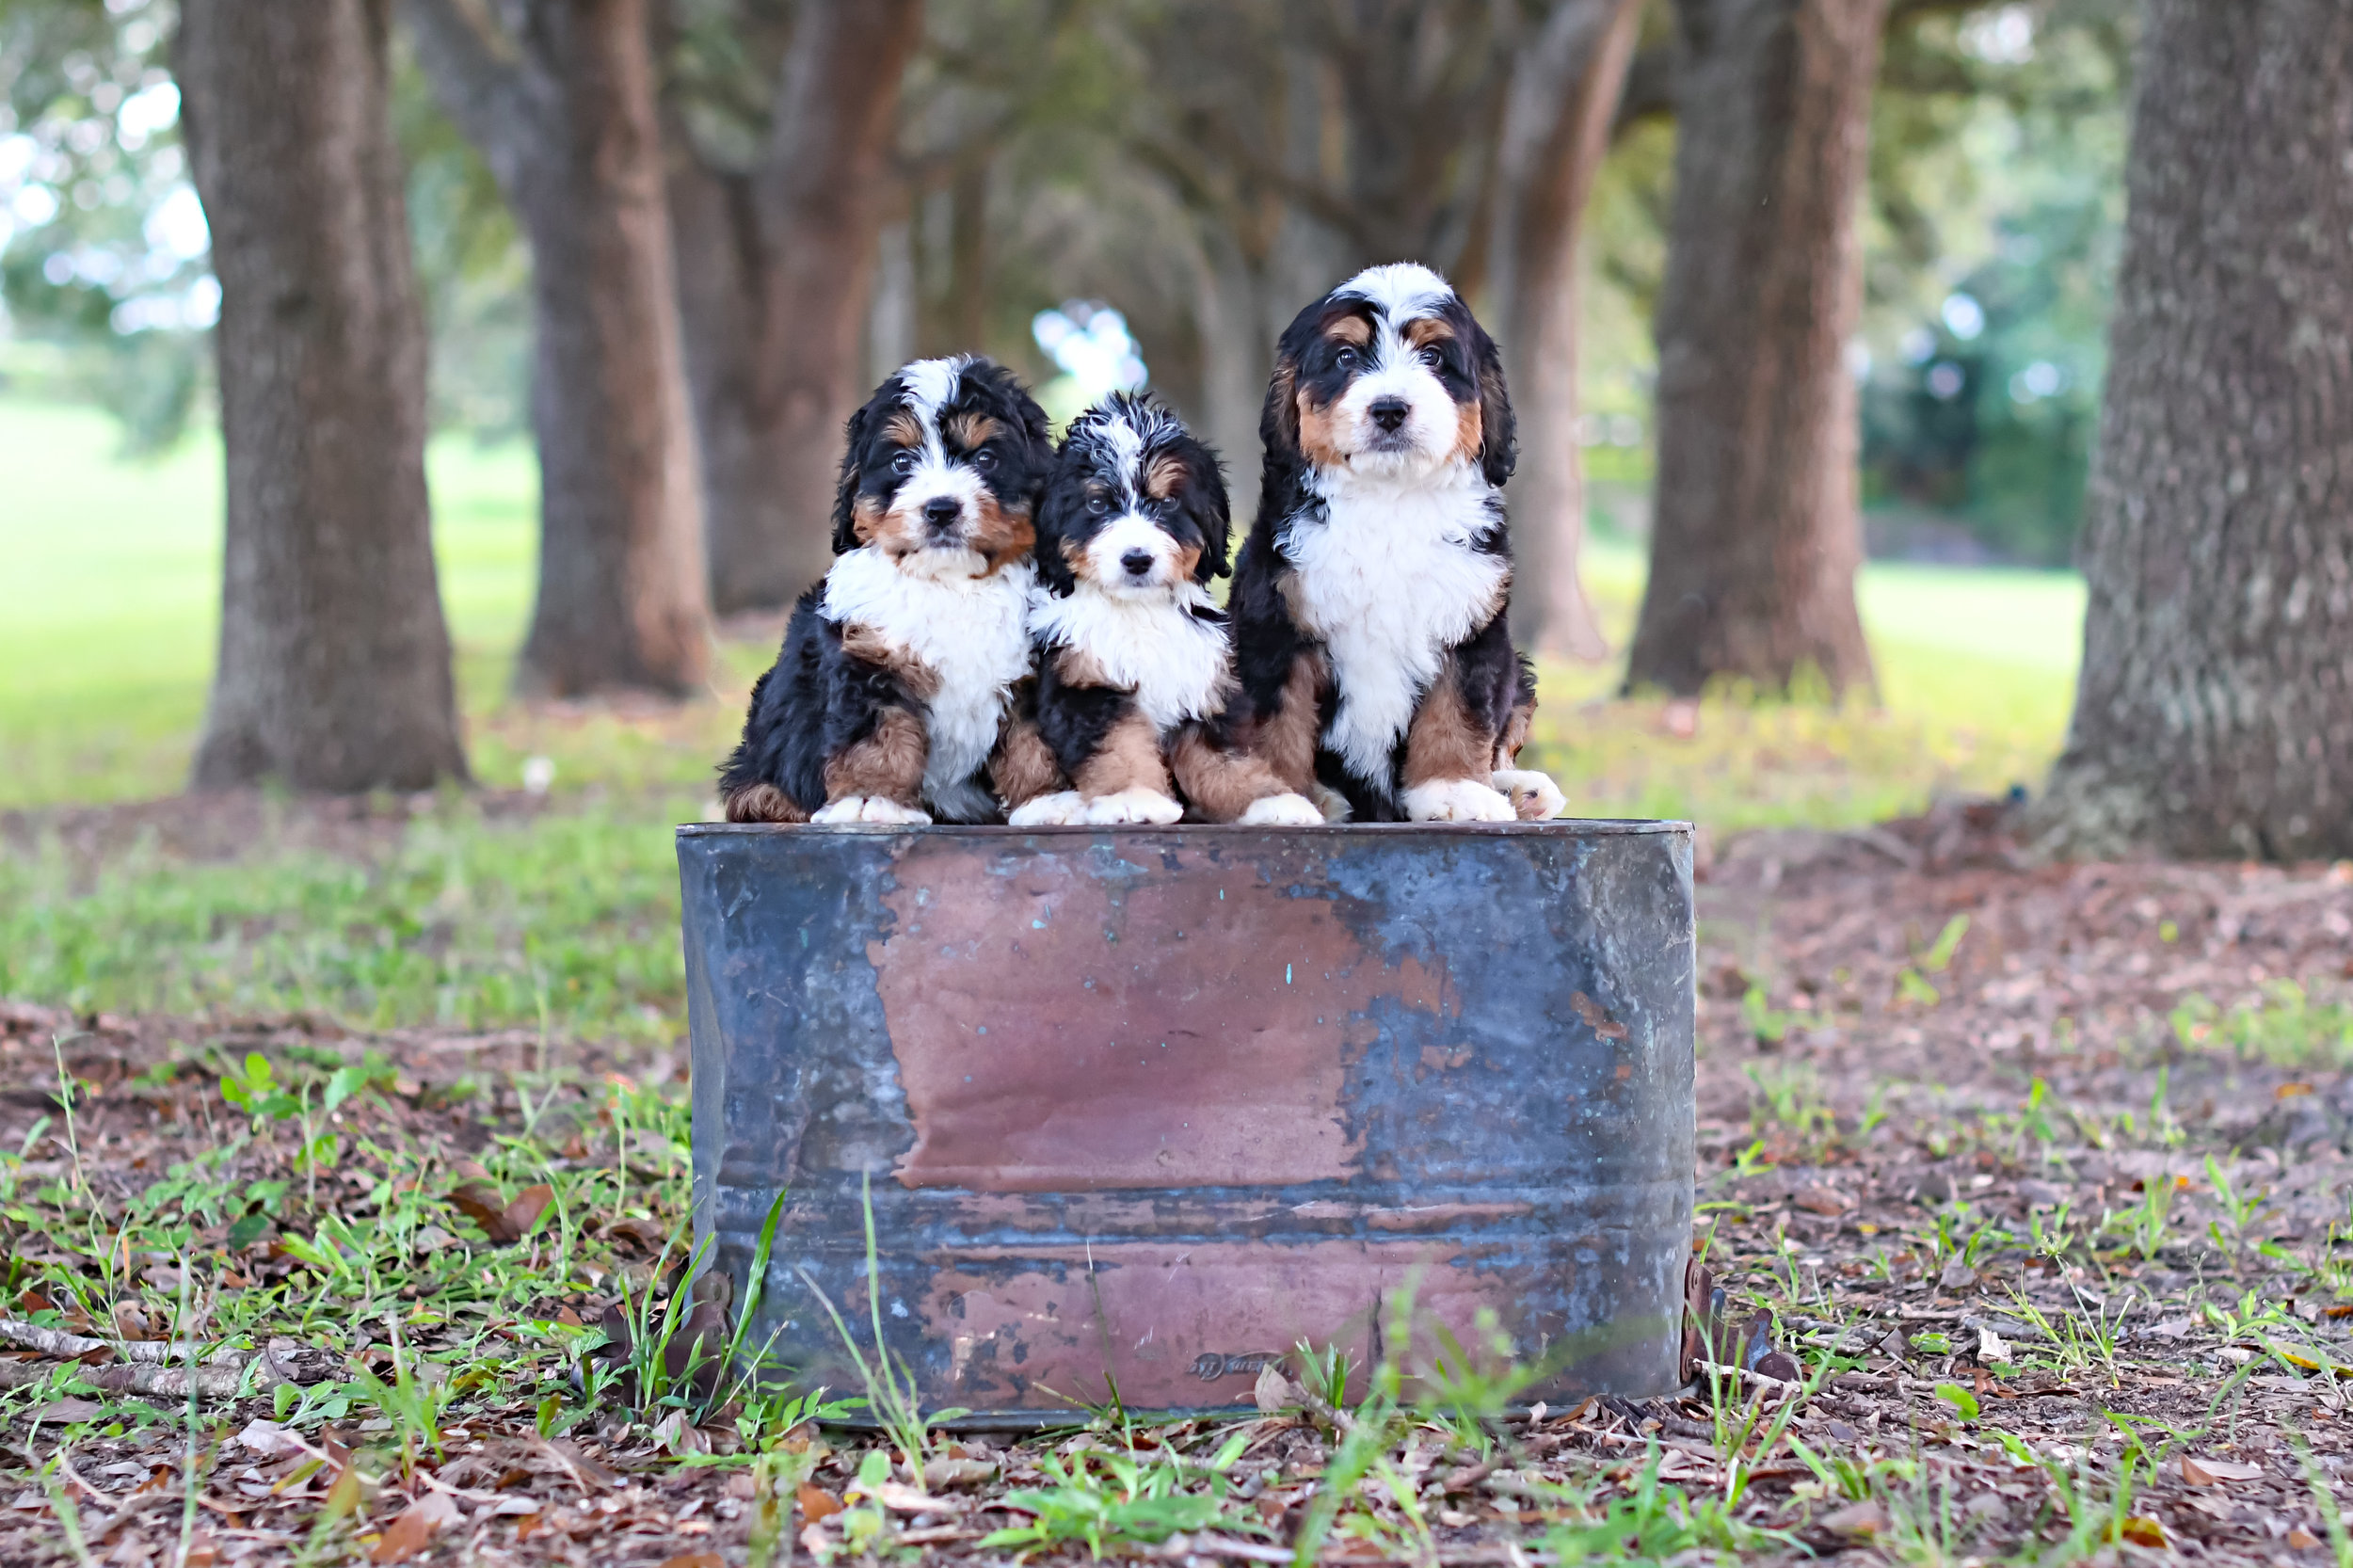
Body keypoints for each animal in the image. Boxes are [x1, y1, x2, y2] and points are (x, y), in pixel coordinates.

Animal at [715, 350, 1068, 819]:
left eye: (985, 459)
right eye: (901, 462)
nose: (941, 509)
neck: (951, 583)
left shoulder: (1030, 665)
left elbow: (1033, 738)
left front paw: (1047, 799)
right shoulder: (868, 658)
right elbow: (878, 738)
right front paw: (872, 800)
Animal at [1016, 392, 1337, 828]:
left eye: (1168, 502)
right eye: (1097, 504)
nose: (1137, 559)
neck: (1139, 610)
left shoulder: (1206, 691)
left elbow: (1225, 760)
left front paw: (1269, 801)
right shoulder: (1083, 682)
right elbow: (1119, 747)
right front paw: (1133, 798)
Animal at [1224, 262, 1572, 824]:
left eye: (1433, 357)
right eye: (1346, 356)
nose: (1389, 409)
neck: (1389, 498)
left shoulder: (1470, 622)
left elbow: (1458, 713)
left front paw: (1455, 789)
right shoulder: (1276, 622)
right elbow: (1275, 722)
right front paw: (1274, 793)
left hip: (1518, 672)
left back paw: (1519, 790)